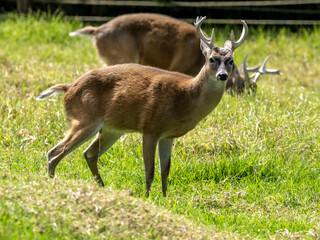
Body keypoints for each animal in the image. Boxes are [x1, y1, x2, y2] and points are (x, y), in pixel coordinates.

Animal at [37, 16, 248, 197]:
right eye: (212, 59)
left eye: (231, 61)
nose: (223, 75)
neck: (186, 98)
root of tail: (69, 87)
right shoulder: (150, 128)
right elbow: (150, 170)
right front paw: (147, 197)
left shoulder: (168, 136)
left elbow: (165, 170)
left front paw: (165, 198)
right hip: (85, 119)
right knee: (54, 152)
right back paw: (53, 183)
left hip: (111, 129)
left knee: (88, 154)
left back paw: (102, 186)